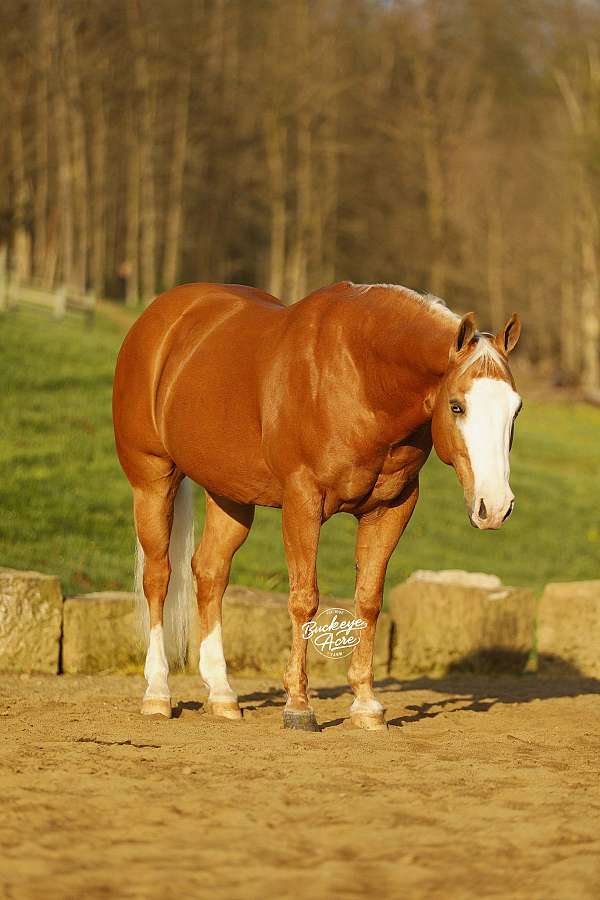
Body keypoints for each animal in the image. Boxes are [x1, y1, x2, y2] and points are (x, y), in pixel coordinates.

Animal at [112, 280, 522, 732]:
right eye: (457, 406)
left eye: (515, 408)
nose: (495, 506)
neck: (360, 378)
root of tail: (162, 317)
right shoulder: (302, 502)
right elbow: (304, 598)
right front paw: (298, 705)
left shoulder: (391, 509)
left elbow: (368, 601)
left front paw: (366, 704)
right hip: (152, 480)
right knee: (158, 577)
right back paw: (157, 692)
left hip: (230, 496)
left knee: (210, 573)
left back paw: (222, 694)